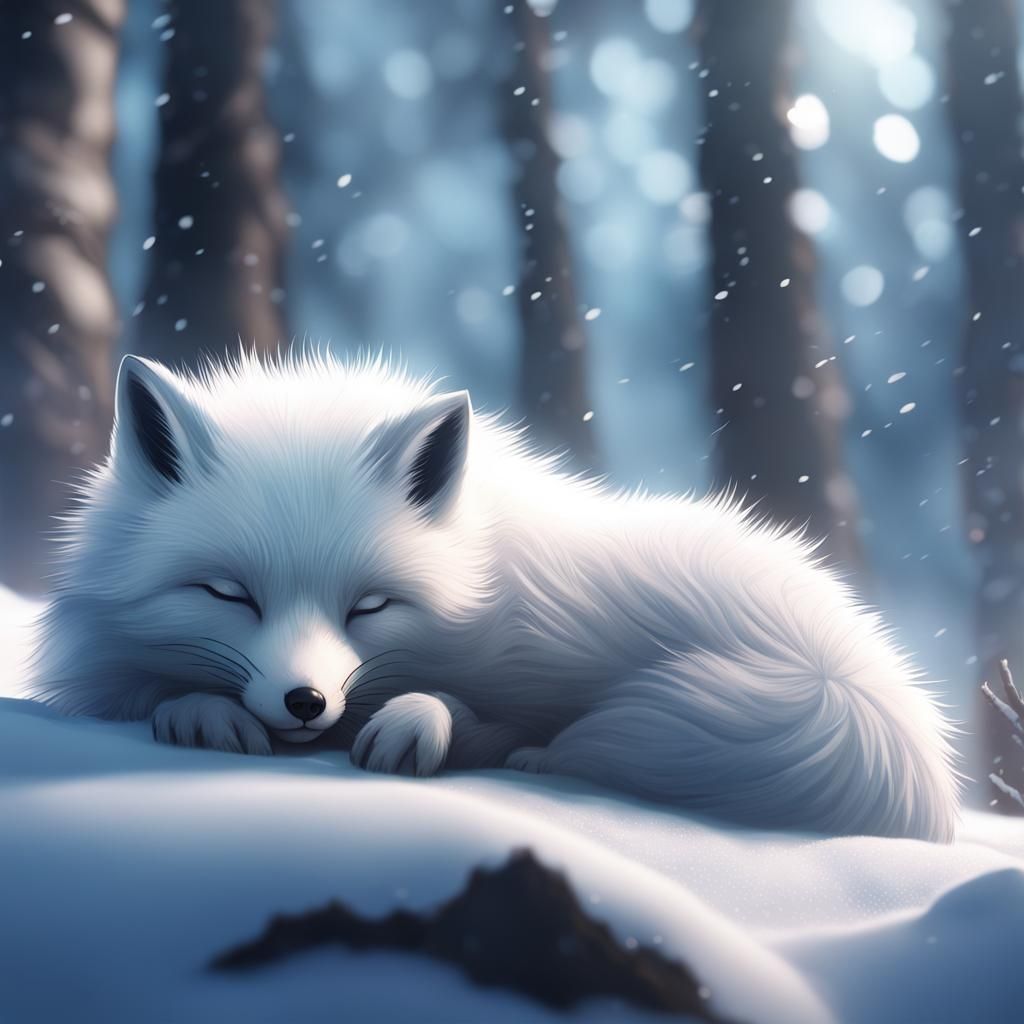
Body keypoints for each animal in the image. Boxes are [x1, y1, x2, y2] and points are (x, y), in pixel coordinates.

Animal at [32, 351, 959, 840]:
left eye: (369, 606)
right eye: (229, 594)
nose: (305, 702)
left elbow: (467, 712)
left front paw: (415, 723)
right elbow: (142, 687)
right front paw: (199, 709)